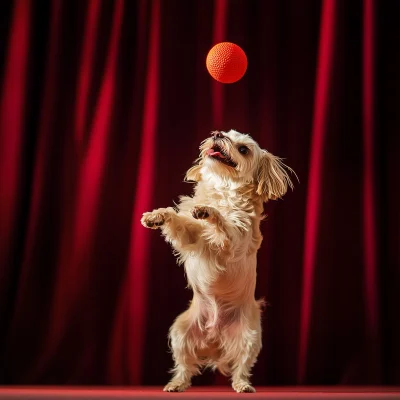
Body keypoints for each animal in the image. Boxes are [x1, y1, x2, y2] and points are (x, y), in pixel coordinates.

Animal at [141, 130, 294, 392]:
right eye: (225, 134)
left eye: (243, 149)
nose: (217, 133)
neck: (223, 190)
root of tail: (215, 338)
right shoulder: (191, 236)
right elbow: (179, 221)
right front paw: (157, 215)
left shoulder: (233, 242)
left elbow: (224, 225)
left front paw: (210, 212)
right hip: (181, 332)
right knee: (184, 367)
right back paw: (176, 384)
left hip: (249, 337)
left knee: (241, 368)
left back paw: (243, 385)